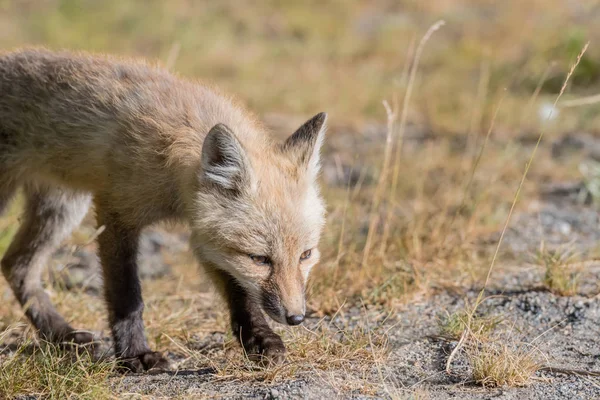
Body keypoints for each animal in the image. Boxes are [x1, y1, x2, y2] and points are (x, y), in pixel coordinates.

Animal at [0, 49, 328, 372]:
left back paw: (63, 336)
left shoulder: (206, 235)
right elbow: (127, 296)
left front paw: (259, 339)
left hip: (62, 206)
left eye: (305, 255)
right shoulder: (116, 212)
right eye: (259, 259)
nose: (296, 318)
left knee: (17, 265)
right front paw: (135, 354)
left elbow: (240, 294)